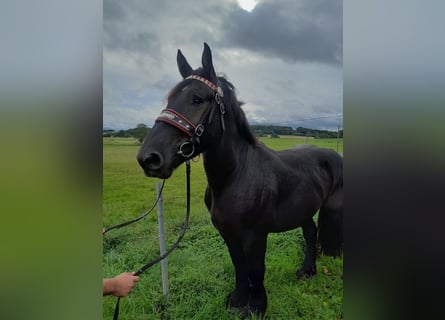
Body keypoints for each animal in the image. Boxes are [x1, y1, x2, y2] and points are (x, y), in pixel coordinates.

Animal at [137, 43, 342, 318]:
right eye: (169, 99)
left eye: (197, 99)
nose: (148, 158)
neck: (237, 175)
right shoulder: (228, 233)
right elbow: (239, 265)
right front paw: (237, 300)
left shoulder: (255, 235)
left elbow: (255, 270)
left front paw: (256, 307)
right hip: (304, 210)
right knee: (310, 233)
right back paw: (307, 271)